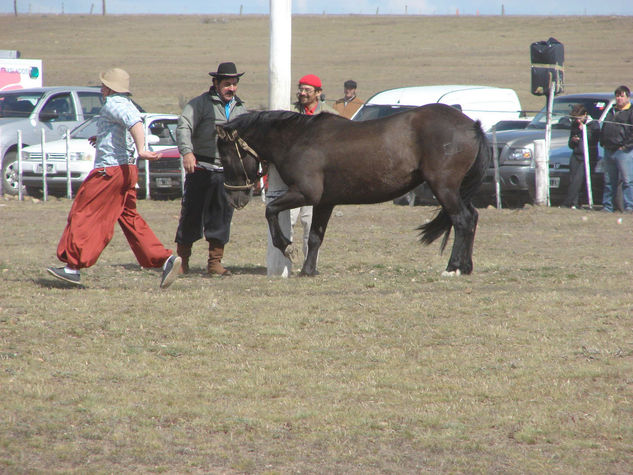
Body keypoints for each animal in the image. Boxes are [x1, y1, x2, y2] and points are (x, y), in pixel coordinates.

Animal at [216, 104, 488, 276]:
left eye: (227, 157)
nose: (234, 198)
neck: (298, 139)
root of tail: (472, 125)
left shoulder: (306, 194)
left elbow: (270, 210)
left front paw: (286, 246)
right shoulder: (324, 202)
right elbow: (315, 237)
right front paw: (308, 270)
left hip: (444, 187)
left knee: (462, 220)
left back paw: (453, 267)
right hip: (457, 189)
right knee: (472, 217)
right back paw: (466, 266)